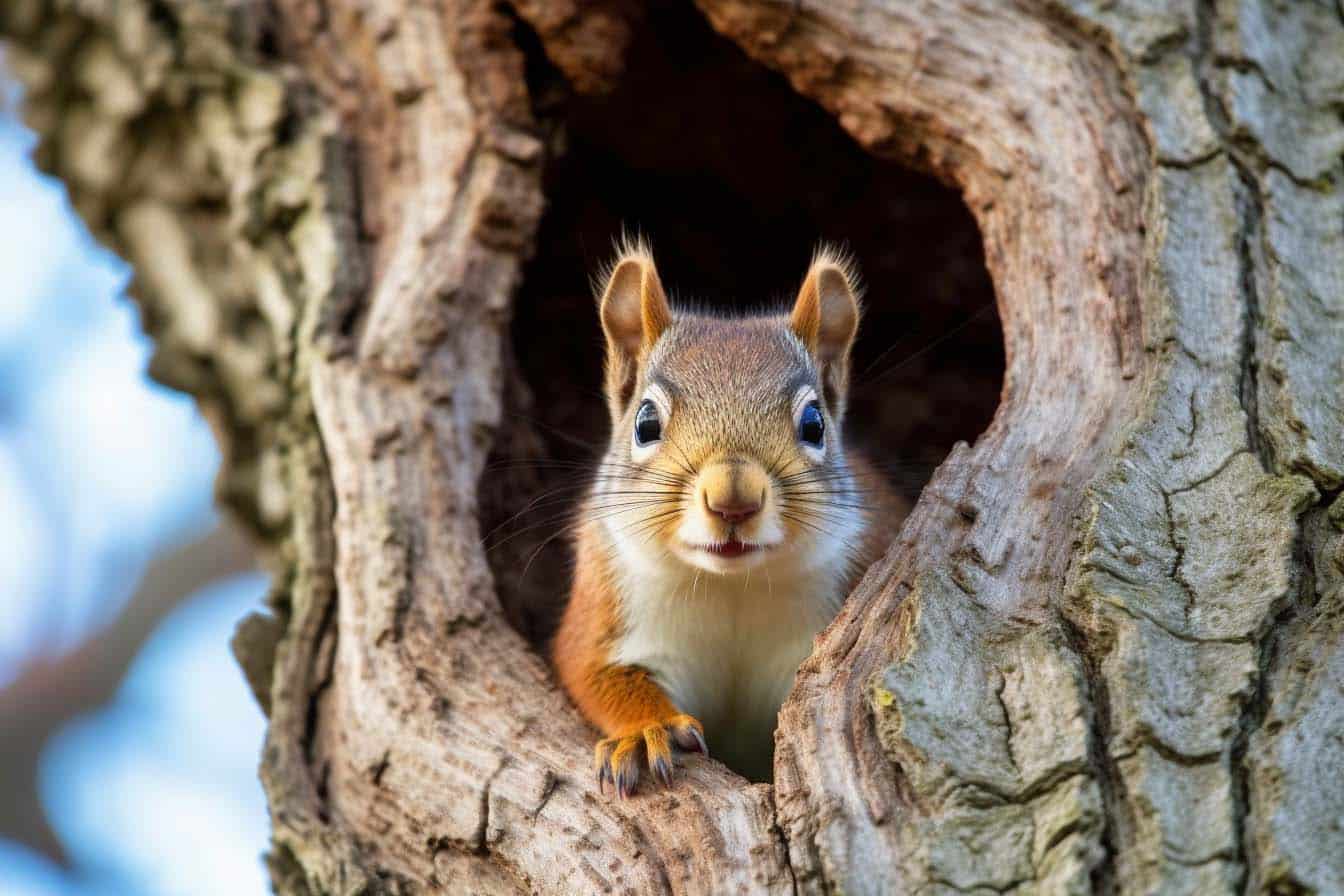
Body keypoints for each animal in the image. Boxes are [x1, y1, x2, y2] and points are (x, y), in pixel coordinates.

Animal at [551, 240, 902, 797]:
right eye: (645, 422)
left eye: (814, 423)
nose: (732, 499)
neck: (732, 585)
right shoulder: (605, 605)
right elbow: (595, 672)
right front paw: (647, 731)